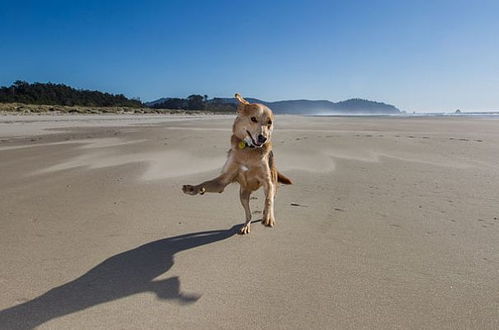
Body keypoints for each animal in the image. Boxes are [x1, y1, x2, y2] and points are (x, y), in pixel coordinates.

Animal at [183, 93, 292, 235]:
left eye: (269, 123)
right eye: (253, 119)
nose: (263, 138)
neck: (248, 150)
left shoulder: (267, 182)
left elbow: (268, 200)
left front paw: (268, 217)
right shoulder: (223, 180)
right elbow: (205, 183)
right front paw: (192, 189)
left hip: (272, 185)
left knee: (270, 199)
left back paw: (265, 215)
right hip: (242, 196)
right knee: (248, 214)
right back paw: (246, 225)